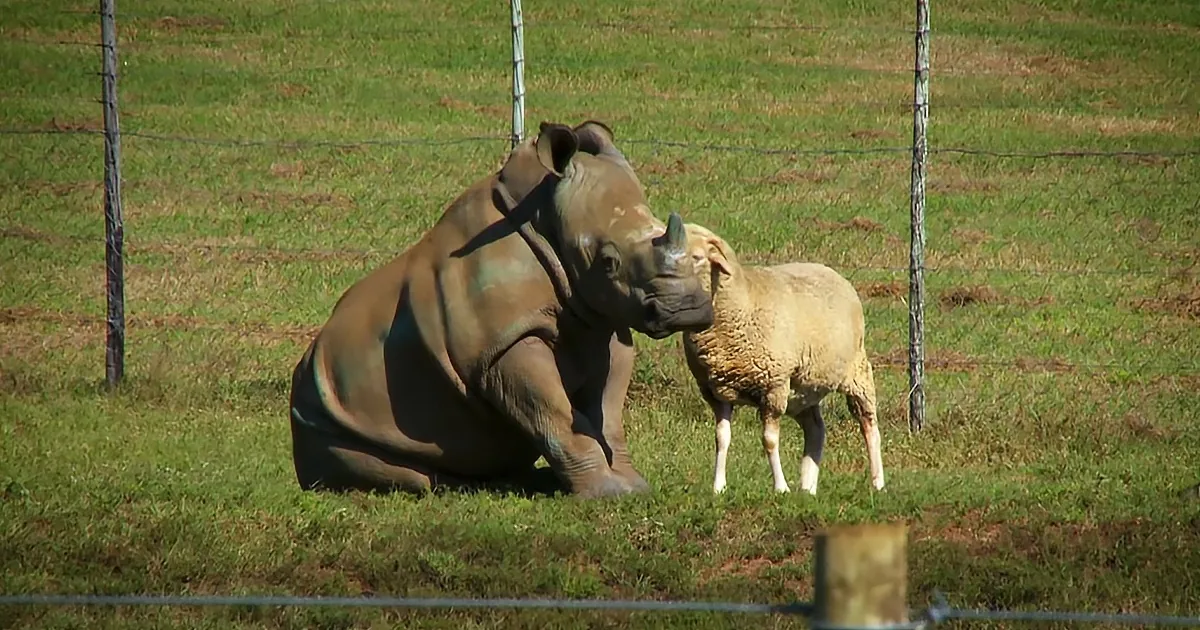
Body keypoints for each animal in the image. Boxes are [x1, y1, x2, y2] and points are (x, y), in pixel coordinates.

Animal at [287, 120, 714, 498]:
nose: (690, 309)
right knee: (401, 472)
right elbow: (556, 412)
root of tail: (308, 361)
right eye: (608, 262)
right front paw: (607, 494)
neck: (546, 220)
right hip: (323, 415)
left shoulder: (604, 318)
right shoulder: (501, 345)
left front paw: (633, 487)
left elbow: (608, 412)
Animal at [679, 222, 885, 495]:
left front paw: (780, 488)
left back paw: (877, 483)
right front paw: (718, 487)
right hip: (804, 389)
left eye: (697, 257)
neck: (744, 300)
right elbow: (721, 438)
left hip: (856, 371)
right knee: (816, 430)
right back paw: (807, 488)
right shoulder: (716, 391)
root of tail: (828, 270)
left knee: (868, 424)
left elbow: (769, 440)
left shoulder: (774, 386)